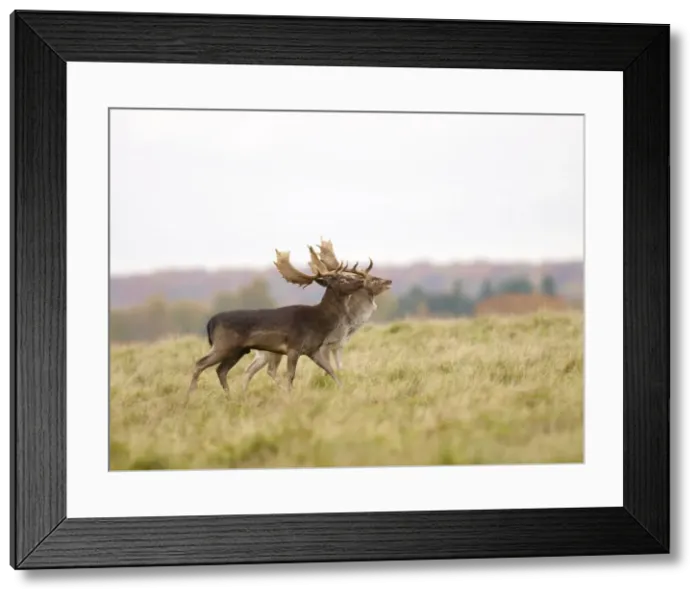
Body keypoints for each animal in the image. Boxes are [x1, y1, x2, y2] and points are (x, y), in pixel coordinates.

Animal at [186, 248, 375, 399]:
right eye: (341, 279)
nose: (361, 280)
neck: (320, 321)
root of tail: (210, 322)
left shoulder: (313, 349)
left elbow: (330, 370)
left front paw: (344, 390)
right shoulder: (293, 346)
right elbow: (290, 375)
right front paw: (289, 395)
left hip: (238, 350)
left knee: (221, 370)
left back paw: (230, 396)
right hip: (223, 344)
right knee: (200, 363)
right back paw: (190, 396)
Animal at [242, 238, 393, 391]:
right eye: (343, 279)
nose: (389, 281)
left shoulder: (332, 347)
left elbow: (335, 368)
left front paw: (342, 387)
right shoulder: (318, 346)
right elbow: (319, 371)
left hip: (265, 353)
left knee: (252, 369)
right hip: (271, 352)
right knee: (267, 370)